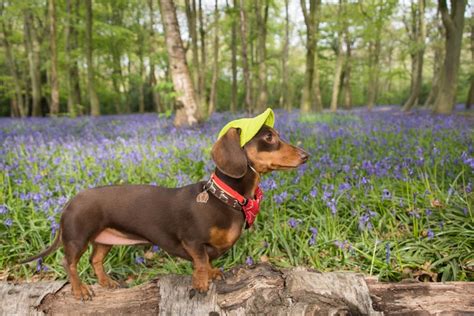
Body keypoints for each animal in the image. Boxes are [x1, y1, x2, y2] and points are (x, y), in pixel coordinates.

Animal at [22, 124, 310, 300]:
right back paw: (80, 290)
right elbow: (201, 260)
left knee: (96, 260)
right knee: (69, 263)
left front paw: (213, 274)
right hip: (78, 237)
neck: (223, 198)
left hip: (105, 240)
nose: (306, 155)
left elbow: (209, 260)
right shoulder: (191, 240)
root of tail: (71, 200)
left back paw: (106, 283)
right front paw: (201, 282)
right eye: (269, 138)